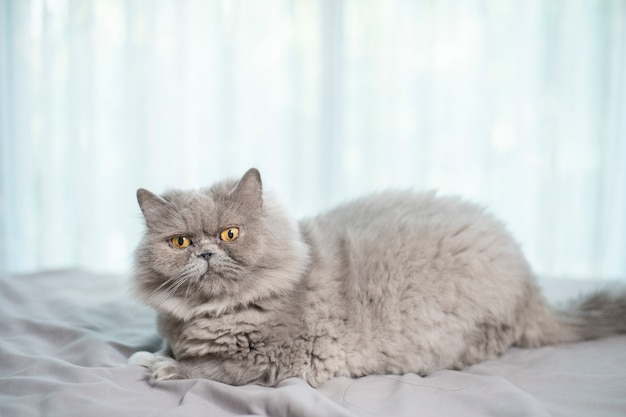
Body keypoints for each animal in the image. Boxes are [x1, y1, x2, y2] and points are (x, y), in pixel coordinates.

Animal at [128, 167, 624, 386]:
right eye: (180, 243)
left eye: (230, 233)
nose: (206, 252)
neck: (207, 312)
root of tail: (530, 280)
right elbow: (168, 344)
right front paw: (152, 352)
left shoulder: (267, 359)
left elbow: (202, 368)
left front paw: (157, 366)